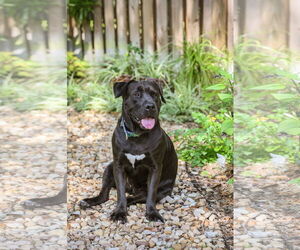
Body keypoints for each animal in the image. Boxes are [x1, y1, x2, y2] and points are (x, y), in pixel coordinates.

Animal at [80, 75, 178, 222]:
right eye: (137, 94)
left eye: (154, 94)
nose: (150, 106)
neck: (137, 135)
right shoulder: (118, 166)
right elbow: (120, 194)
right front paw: (120, 212)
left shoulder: (155, 168)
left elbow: (151, 195)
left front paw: (152, 213)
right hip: (109, 168)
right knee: (105, 195)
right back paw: (88, 201)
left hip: (163, 190)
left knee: (137, 197)